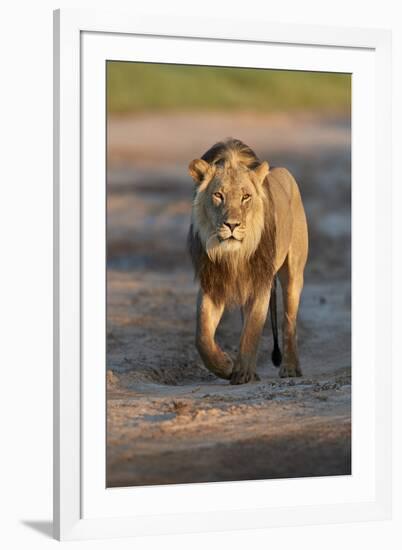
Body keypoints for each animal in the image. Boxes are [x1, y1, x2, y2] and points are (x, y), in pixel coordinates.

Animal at [188, 139, 308, 384]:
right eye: (218, 195)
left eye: (245, 197)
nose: (232, 225)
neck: (234, 254)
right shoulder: (211, 283)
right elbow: (202, 336)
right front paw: (225, 365)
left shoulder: (260, 282)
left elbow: (253, 329)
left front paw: (242, 372)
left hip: (293, 273)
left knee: (288, 321)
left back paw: (290, 368)